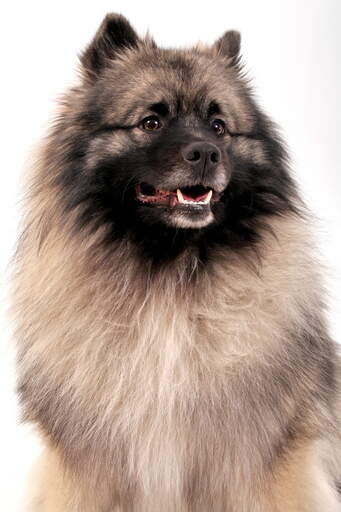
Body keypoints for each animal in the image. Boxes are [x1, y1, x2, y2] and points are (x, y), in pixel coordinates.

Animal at [11, 12, 340, 512]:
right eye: (150, 121)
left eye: (219, 126)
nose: (205, 153)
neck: (169, 275)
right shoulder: (86, 475)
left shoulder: (264, 467)